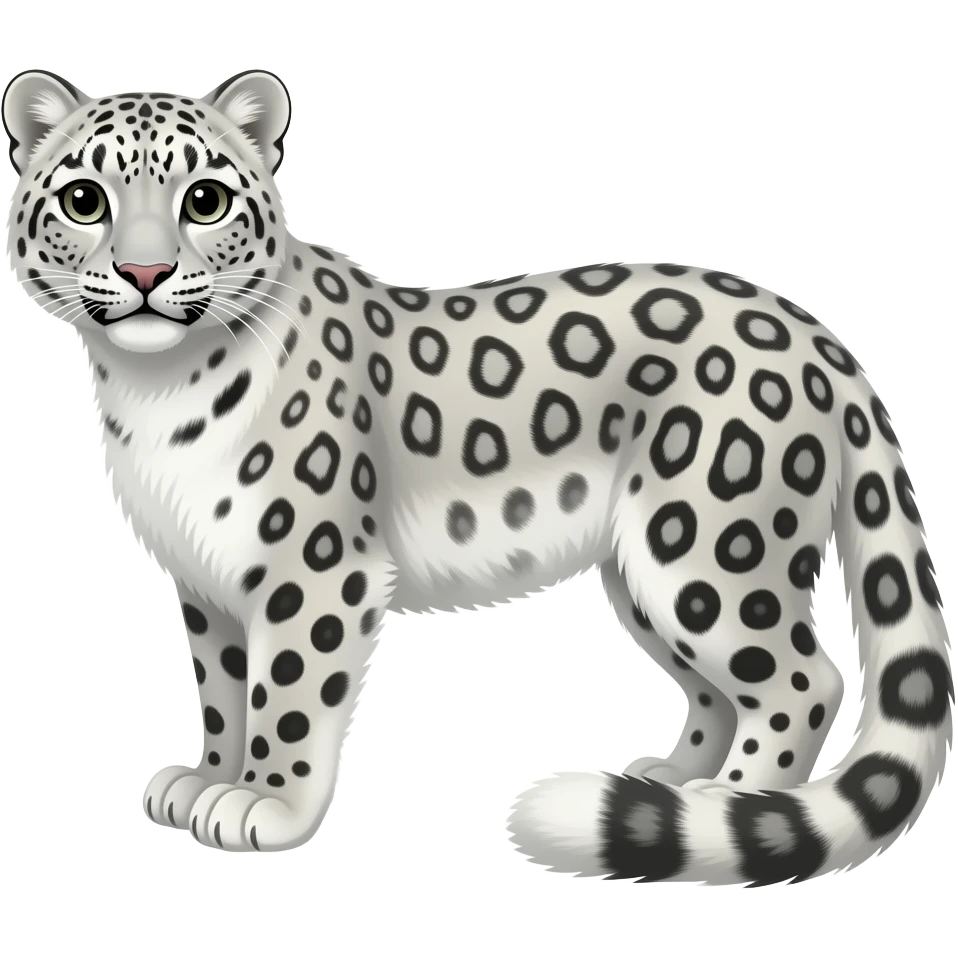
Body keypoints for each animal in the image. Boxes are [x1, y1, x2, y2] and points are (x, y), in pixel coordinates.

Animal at [2, 67, 952, 882]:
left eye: (205, 198)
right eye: (85, 199)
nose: (146, 272)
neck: (153, 393)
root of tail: (815, 332)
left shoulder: (313, 573)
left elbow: (289, 697)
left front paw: (263, 805)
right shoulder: (206, 583)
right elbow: (223, 690)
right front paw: (206, 776)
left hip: (713, 553)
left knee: (806, 678)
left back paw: (732, 796)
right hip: (647, 574)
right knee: (722, 690)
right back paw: (668, 782)